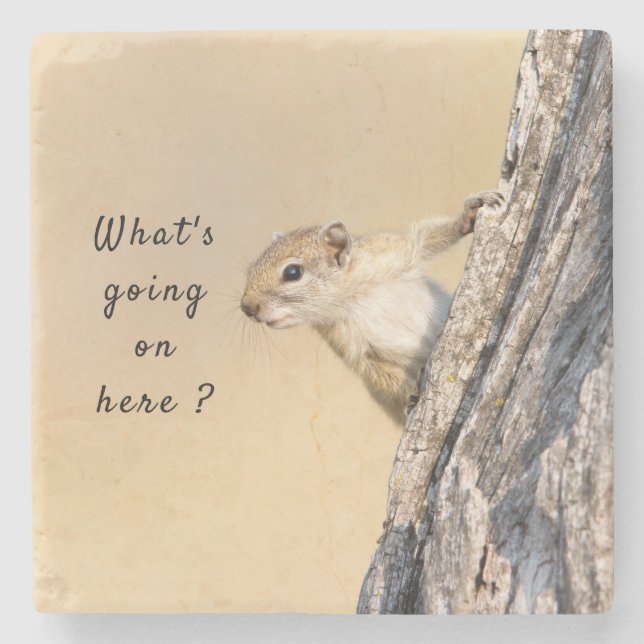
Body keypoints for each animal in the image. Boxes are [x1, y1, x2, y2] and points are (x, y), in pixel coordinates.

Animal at [240, 191, 503, 424]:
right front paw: (410, 394)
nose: (247, 307)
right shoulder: (352, 347)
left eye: (292, 272)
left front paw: (471, 212)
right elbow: (378, 374)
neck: (352, 296)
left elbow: (424, 238)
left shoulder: (392, 251)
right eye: (251, 268)